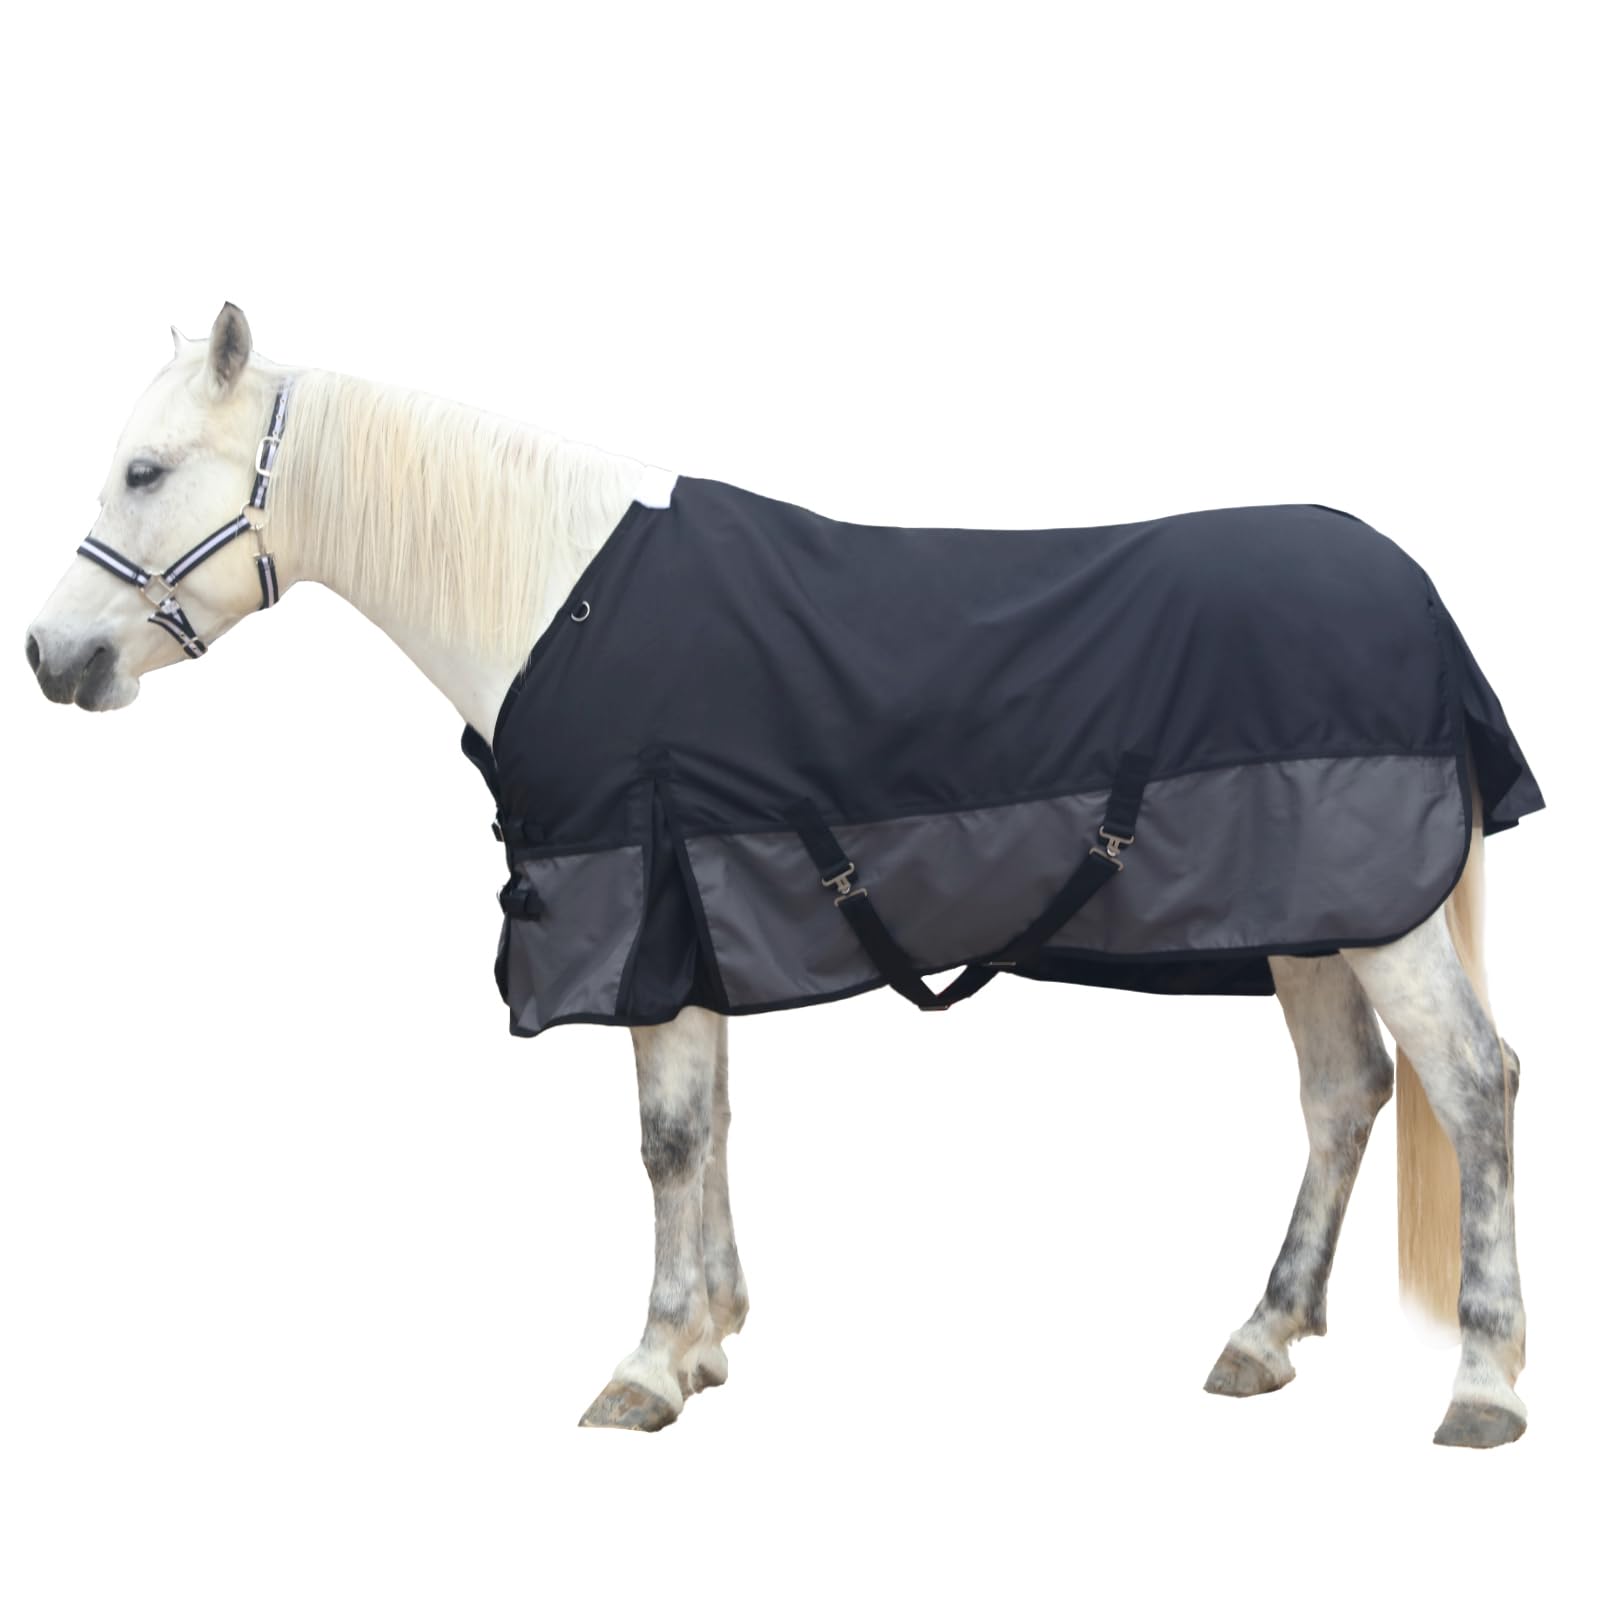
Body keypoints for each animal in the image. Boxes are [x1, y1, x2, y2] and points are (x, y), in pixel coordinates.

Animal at [24, 303, 1535, 1448]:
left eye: (147, 471)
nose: (48, 656)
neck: (556, 600)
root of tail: (1416, 596)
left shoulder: (645, 915)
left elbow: (666, 1139)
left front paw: (646, 1367)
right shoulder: (692, 924)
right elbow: (708, 1132)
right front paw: (706, 1343)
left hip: (1377, 924)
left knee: (1473, 1086)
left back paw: (1484, 1385)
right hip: (1315, 922)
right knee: (1343, 1096)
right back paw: (1263, 1336)